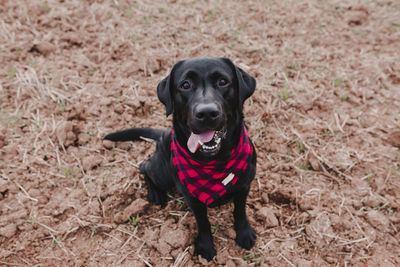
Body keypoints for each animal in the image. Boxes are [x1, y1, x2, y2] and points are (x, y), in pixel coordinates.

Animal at [104, 57, 256, 260]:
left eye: (223, 81)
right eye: (185, 85)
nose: (207, 113)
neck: (215, 161)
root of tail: (164, 134)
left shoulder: (244, 186)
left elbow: (240, 211)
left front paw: (244, 234)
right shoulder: (193, 198)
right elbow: (203, 222)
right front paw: (205, 246)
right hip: (162, 172)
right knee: (144, 166)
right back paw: (156, 193)